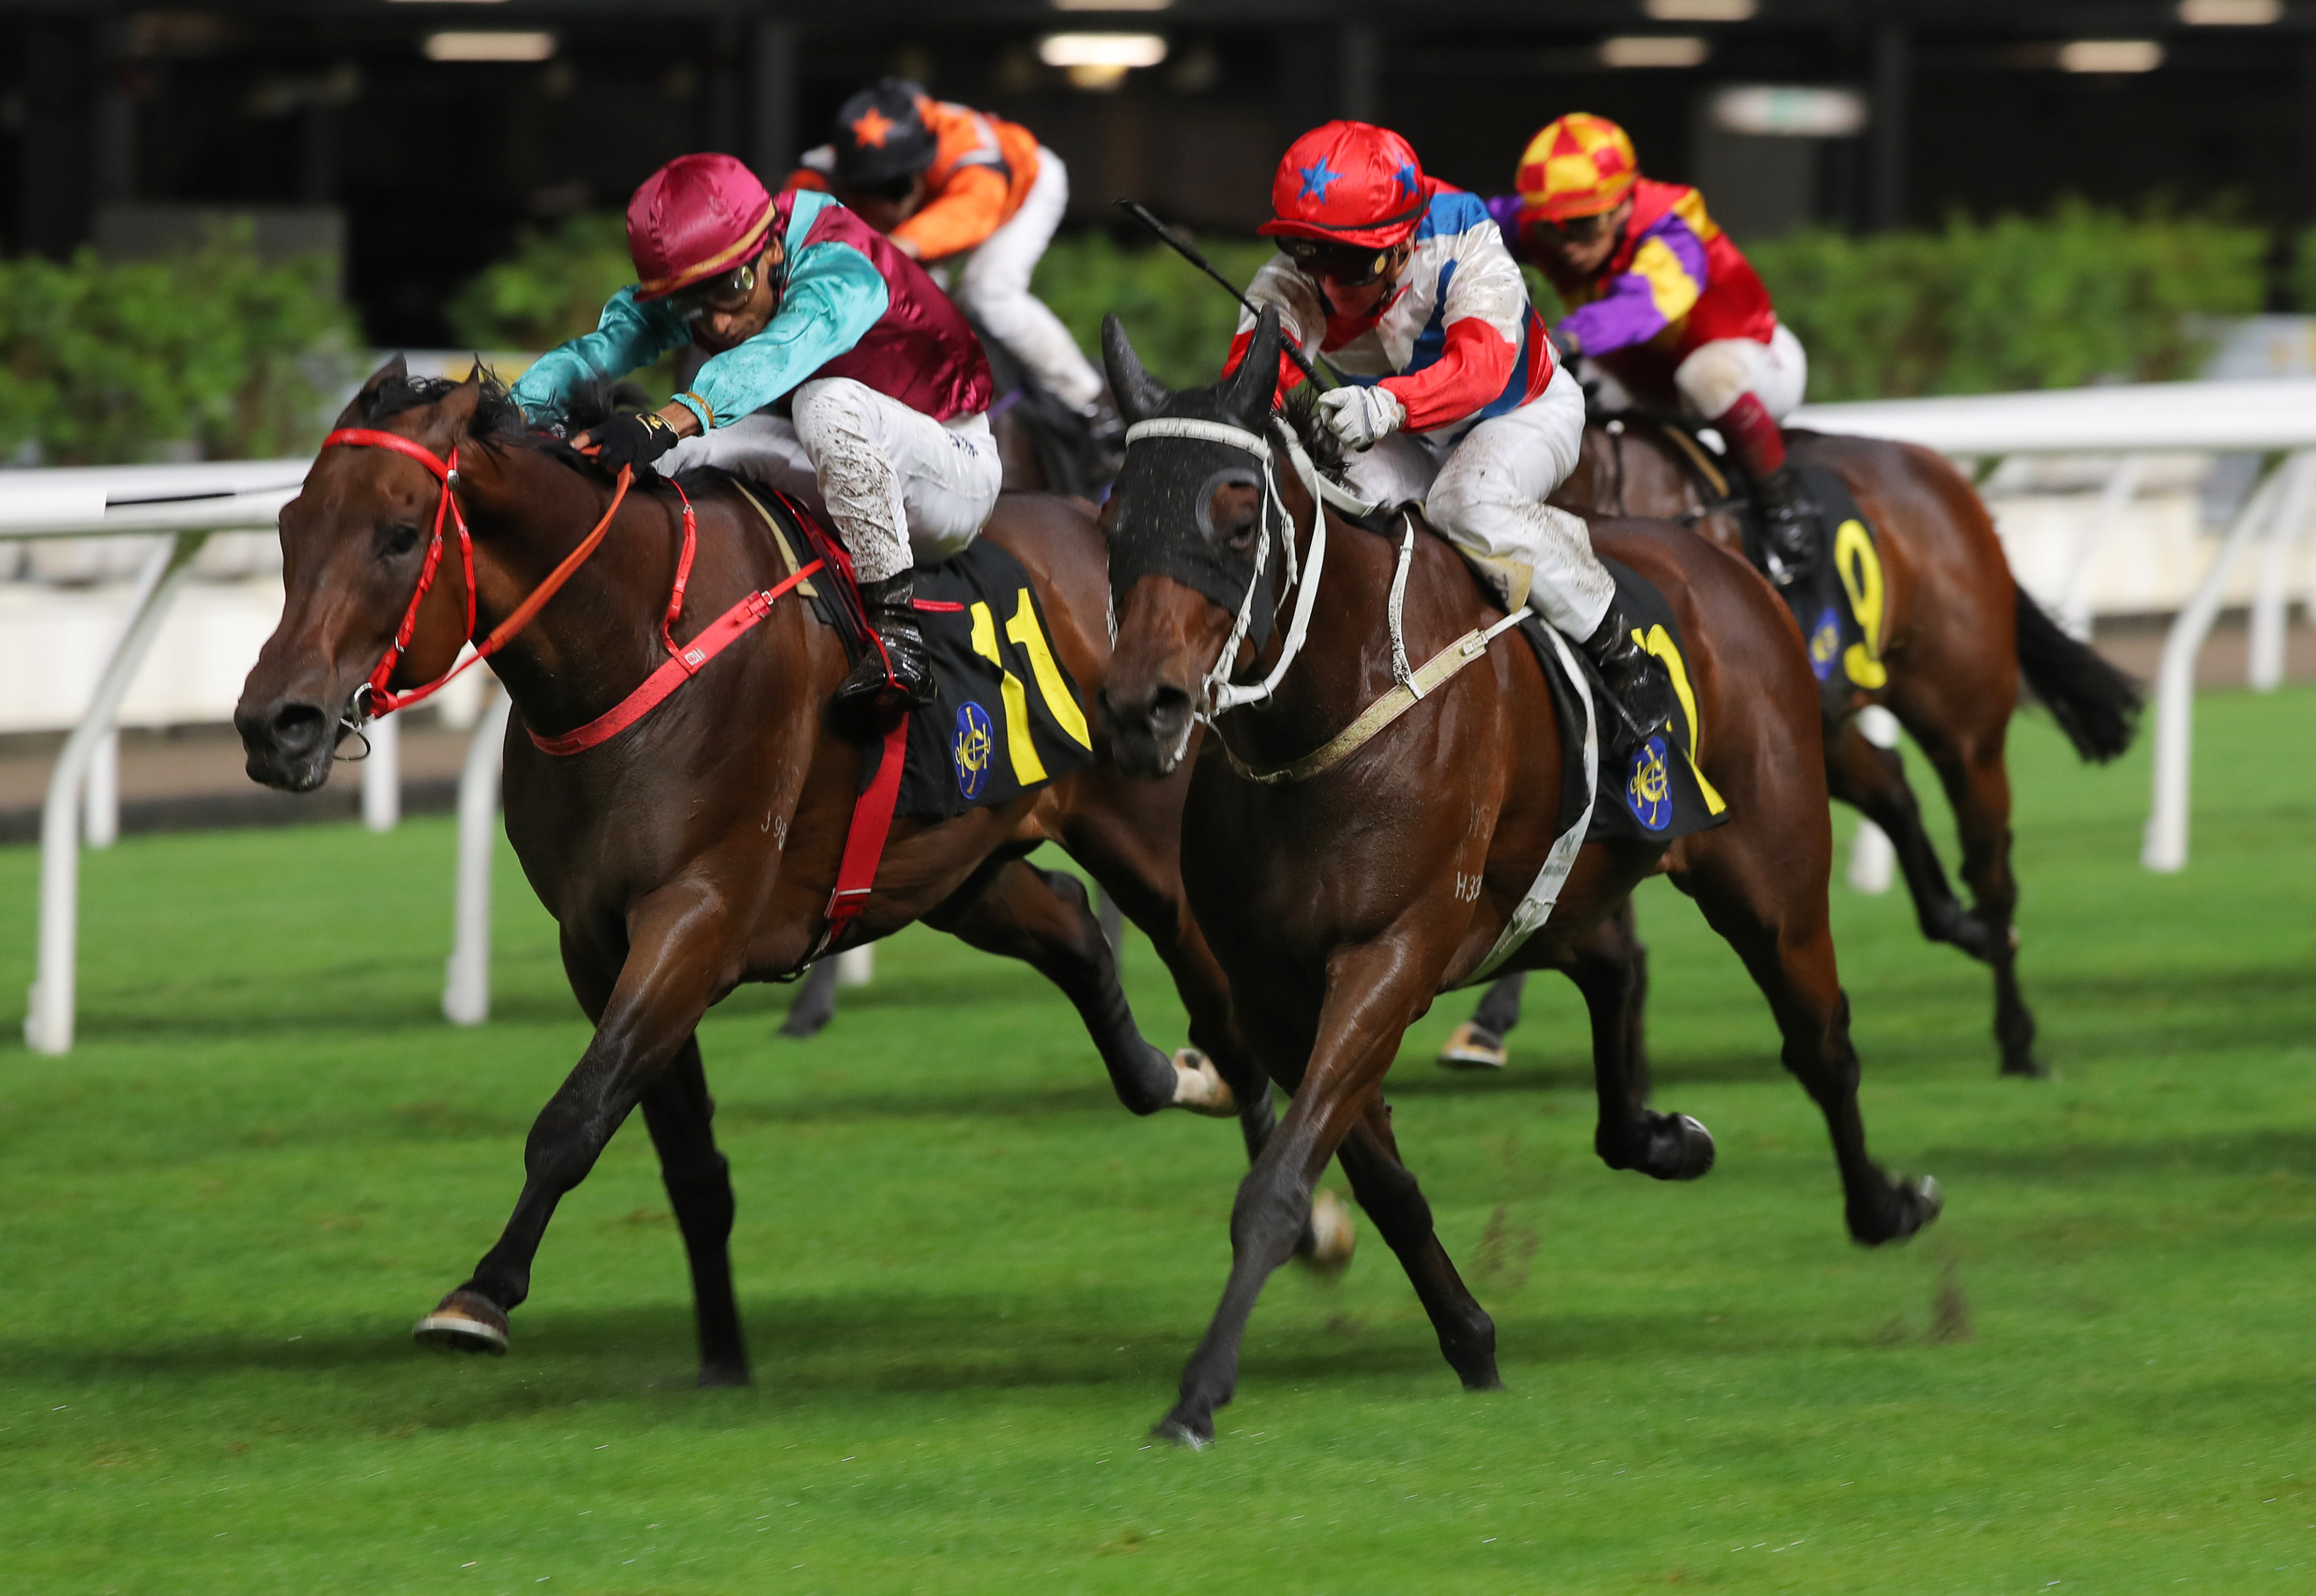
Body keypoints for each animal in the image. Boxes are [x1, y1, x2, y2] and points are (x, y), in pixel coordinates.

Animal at [244, 359, 1315, 1380]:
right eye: (290, 524)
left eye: (399, 533)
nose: (273, 724)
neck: (639, 640)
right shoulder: (597, 939)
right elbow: (683, 1157)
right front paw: (722, 1354)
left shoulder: (697, 915)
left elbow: (577, 1113)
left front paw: (482, 1293)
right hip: (951, 866)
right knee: (1073, 928)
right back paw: (1171, 1076)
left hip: (1154, 853)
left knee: (1224, 1014)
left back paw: (1307, 1217)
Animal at [1093, 310, 1945, 1445]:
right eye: (1113, 520)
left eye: (1236, 520)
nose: (1140, 708)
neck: (1334, 704)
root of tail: (1723, 559)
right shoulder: (1275, 992)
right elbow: (1377, 1182)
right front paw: (1470, 1336)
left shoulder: (1390, 956)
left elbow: (1278, 1187)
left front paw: (1197, 1392)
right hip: (1559, 883)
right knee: (1614, 969)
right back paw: (1662, 1136)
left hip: (1773, 871)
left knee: (1820, 1043)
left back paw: (1885, 1203)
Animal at [1528, 417, 2140, 1075]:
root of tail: (1936, 468)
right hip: (1814, 724)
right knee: (1892, 786)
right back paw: (1961, 928)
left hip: (1959, 725)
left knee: (1989, 867)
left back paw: (2017, 1034)